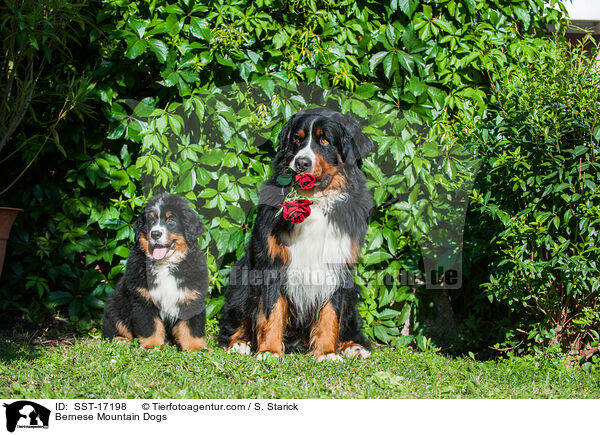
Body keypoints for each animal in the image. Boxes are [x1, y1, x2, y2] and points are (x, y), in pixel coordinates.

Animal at [101, 192, 209, 352]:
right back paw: (121, 341)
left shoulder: (191, 297)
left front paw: (196, 347)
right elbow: (150, 326)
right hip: (114, 305)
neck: (166, 264)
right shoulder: (143, 298)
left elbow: (191, 328)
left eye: (171, 220)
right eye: (151, 220)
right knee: (114, 328)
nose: (155, 234)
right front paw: (152, 346)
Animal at [216, 108, 376, 362]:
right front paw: (269, 351)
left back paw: (354, 346)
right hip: (240, 276)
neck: (314, 202)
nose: (301, 162)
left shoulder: (338, 265)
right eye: (297, 140)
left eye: (325, 141)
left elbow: (331, 314)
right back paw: (239, 344)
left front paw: (327, 353)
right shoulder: (272, 263)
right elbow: (271, 311)